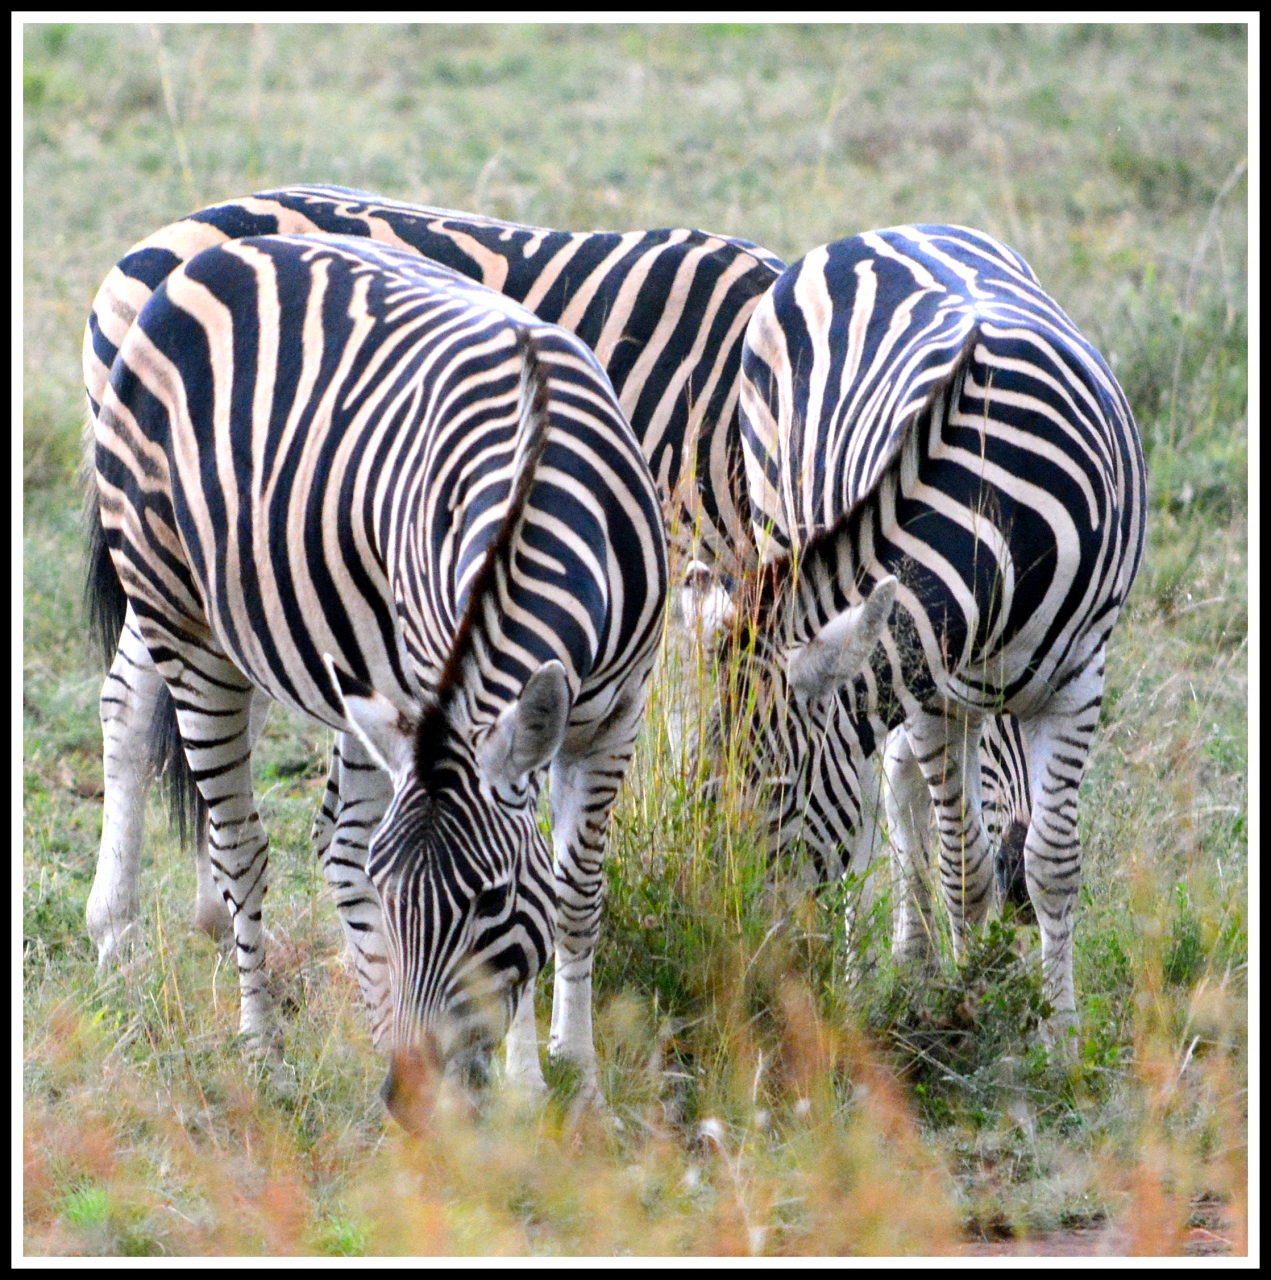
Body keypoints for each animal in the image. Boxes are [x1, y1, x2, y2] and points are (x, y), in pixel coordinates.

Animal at [727, 227, 1146, 1029]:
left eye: (779, 792)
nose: (750, 978)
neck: (993, 516)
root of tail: (874, 233)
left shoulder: (1077, 681)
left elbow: (1051, 865)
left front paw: (1060, 1036)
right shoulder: (929, 693)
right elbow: (962, 869)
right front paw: (967, 1003)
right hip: (780, 517)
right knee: (886, 807)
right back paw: (895, 968)